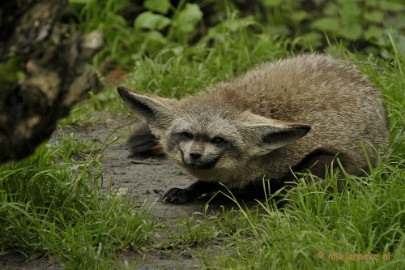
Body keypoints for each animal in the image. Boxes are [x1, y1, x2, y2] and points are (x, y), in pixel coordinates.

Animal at [117, 53, 388, 204]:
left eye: (218, 140)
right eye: (186, 135)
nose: (195, 154)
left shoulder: (338, 154)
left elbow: (292, 183)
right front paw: (194, 190)